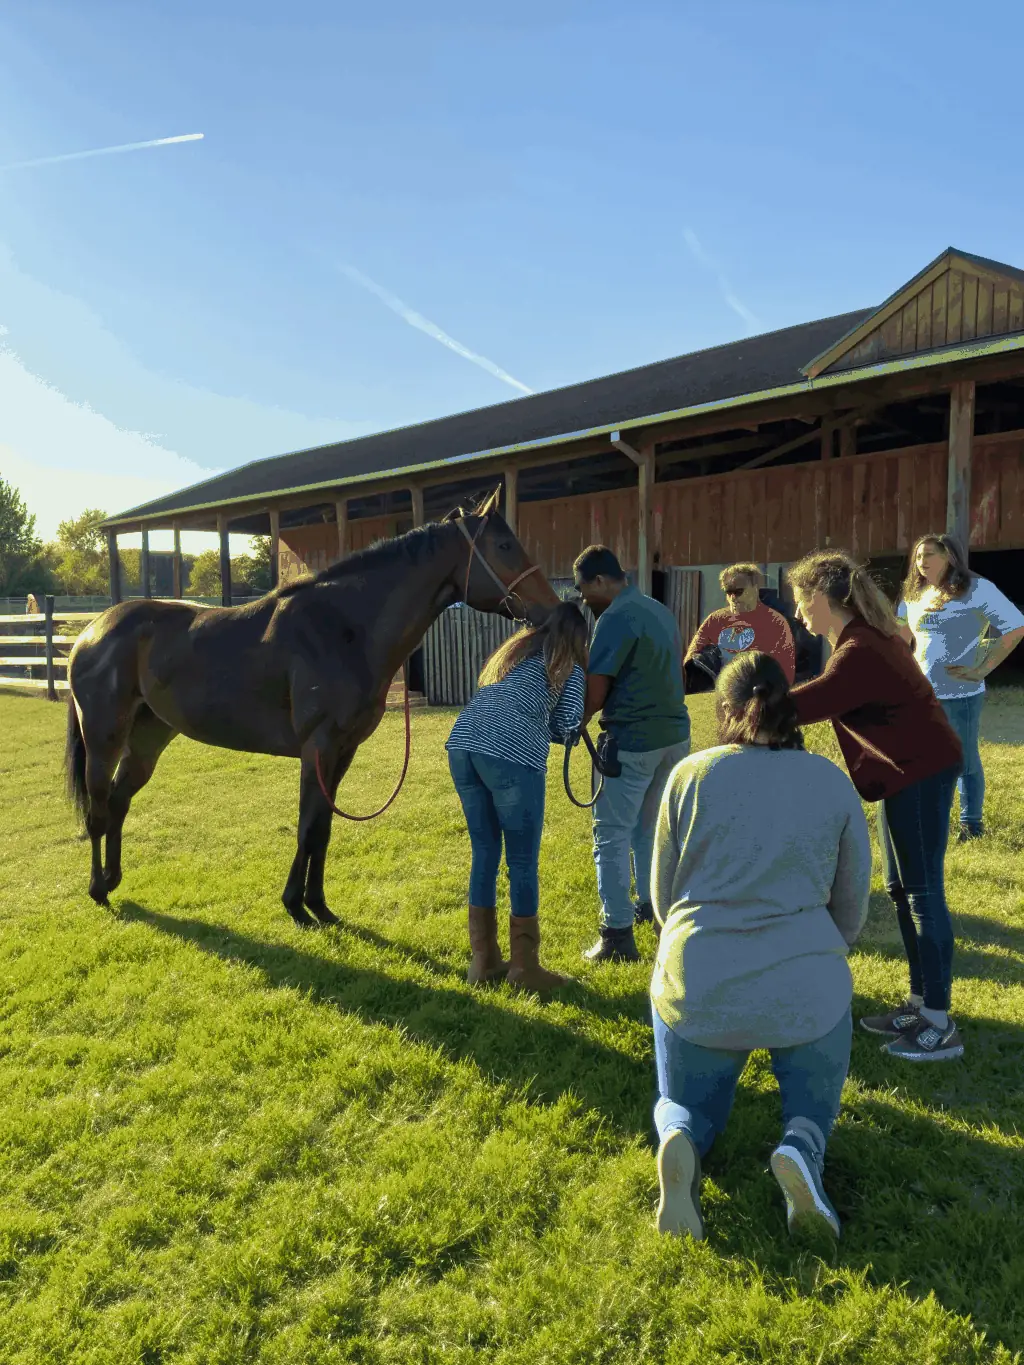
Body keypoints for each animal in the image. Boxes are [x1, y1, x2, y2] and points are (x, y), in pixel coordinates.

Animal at [64, 489, 560, 927]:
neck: (343, 628)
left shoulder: (343, 752)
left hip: (148, 739)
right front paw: (294, 905)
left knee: (120, 801)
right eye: (504, 545)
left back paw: (112, 879)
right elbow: (307, 826)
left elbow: (323, 827)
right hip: (104, 737)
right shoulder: (317, 749)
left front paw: (318, 904)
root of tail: (91, 630)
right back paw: (97, 889)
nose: (553, 610)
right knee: (99, 807)